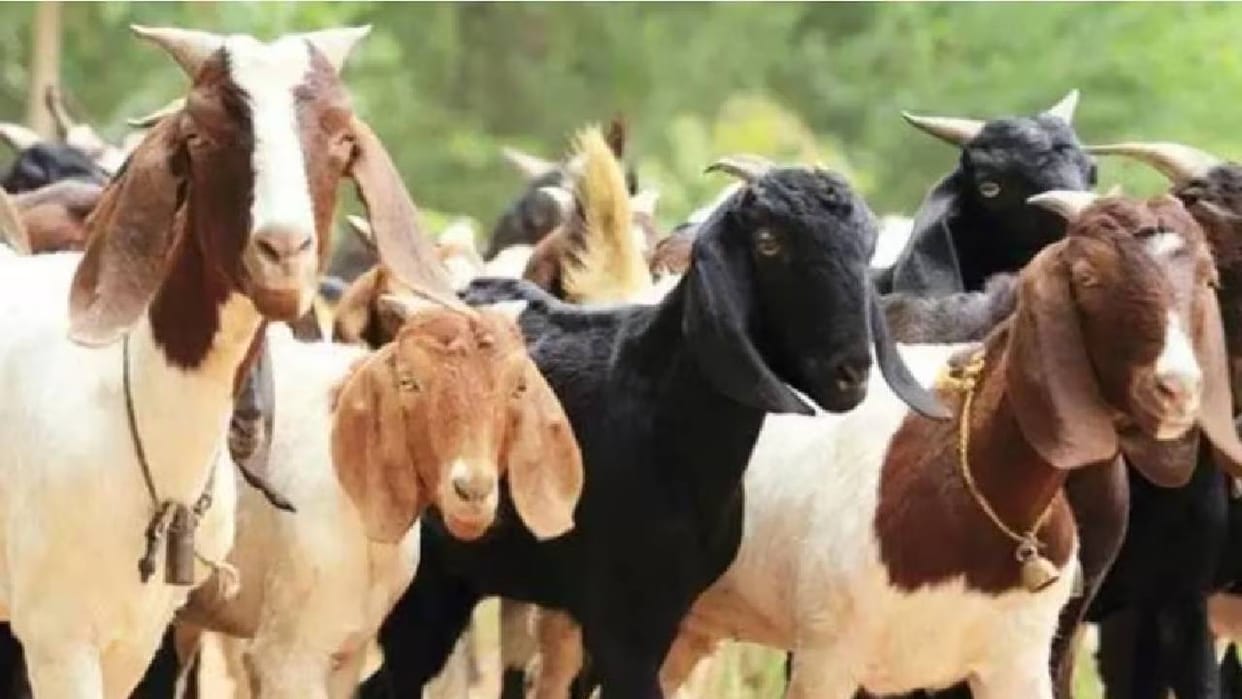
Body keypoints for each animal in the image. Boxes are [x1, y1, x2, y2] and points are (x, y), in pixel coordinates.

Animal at [357, 156, 947, 698]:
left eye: (866, 246)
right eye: (768, 242)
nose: (851, 372)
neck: (664, 416)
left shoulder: (663, 612)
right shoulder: (622, 622)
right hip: (427, 580)